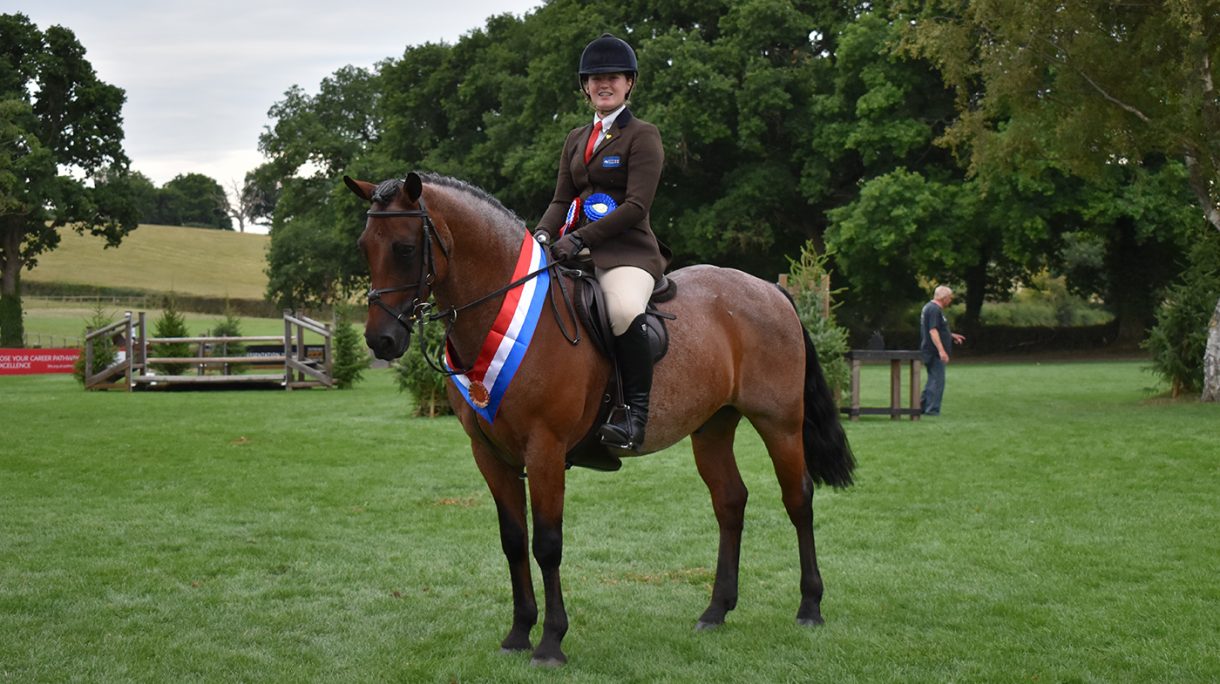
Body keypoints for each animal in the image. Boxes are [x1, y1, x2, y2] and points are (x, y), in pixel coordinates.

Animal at [346, 171, 855, 667]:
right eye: (365, 246)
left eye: (405, 248)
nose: (381, 340)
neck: (501, 314)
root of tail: (770, 289)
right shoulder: (491, 455)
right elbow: (513, 540)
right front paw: (518, 633)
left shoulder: (545, 449)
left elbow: (546, 543)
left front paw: (550, 643)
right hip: (712, 427)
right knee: (730, 502)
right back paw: (715, 611)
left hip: (779, 422)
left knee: (798, 499)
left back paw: (810, 607)